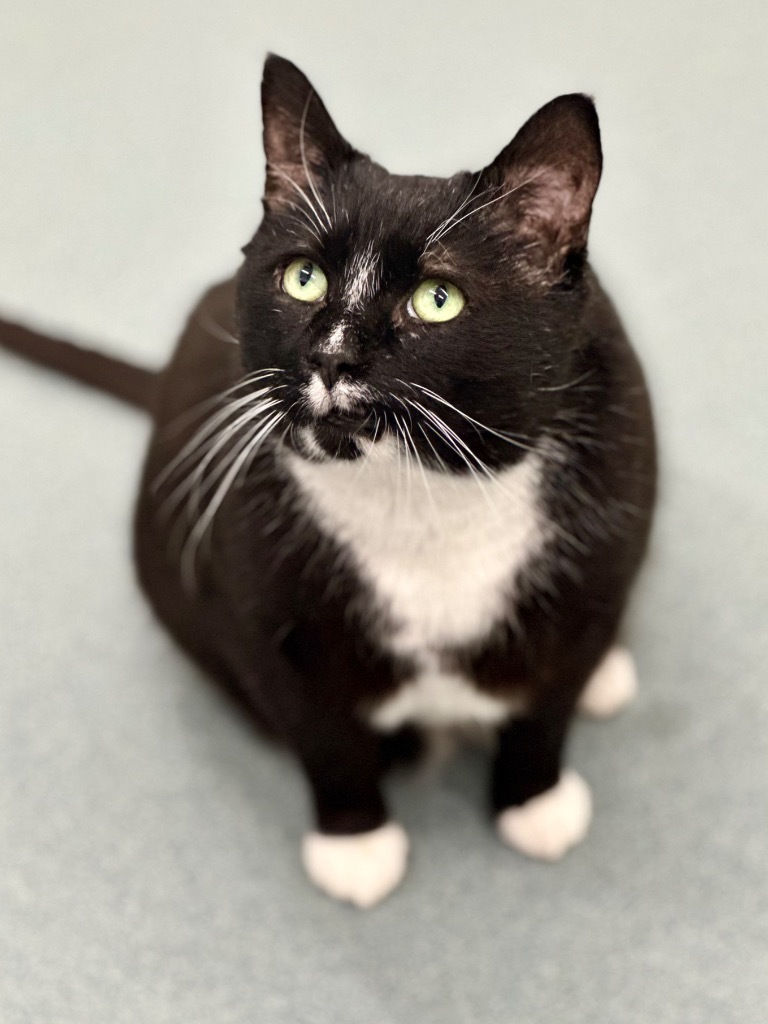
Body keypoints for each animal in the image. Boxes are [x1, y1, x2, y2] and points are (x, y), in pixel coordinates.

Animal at [0, 56, 655, 909]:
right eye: (303, 278)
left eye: (437, 299)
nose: (332, 357)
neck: (424, 500)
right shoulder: (267, 608)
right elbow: (323, 731)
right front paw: (356, 843)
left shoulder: (604, 546)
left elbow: (550, 700)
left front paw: (534, 802)